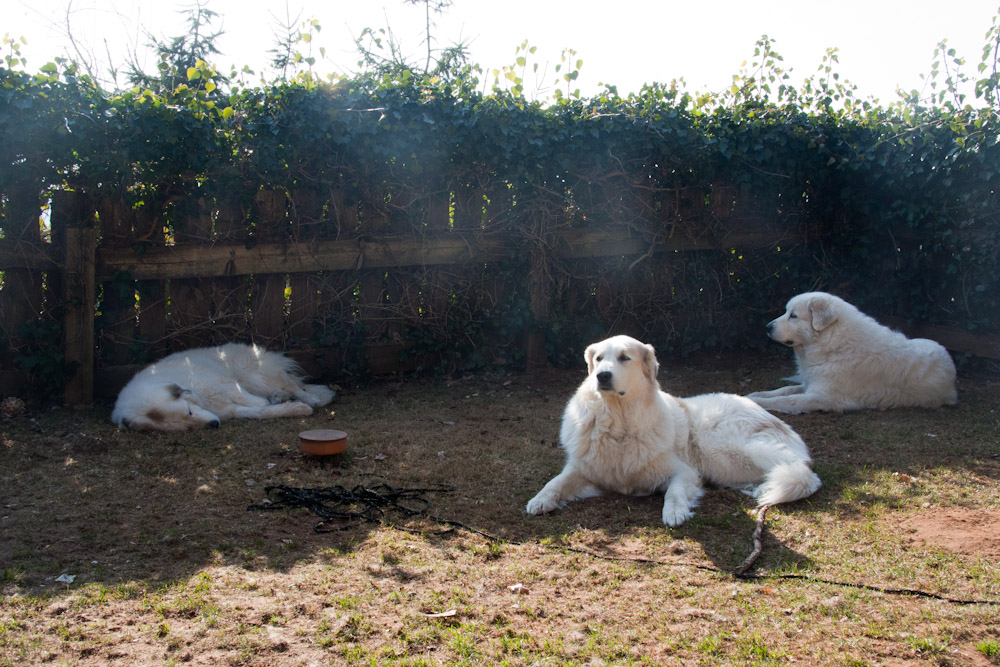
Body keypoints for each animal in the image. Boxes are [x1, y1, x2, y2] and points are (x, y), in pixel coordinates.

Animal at [111, 344, 334, 434]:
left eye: (189, 412)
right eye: (186, 427)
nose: (214, 424)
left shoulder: (224, 384)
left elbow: (255, 402)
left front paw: (303, 406)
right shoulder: (227, 409)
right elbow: (258, 412)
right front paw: (292, 409)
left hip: (252, 377)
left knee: (293, 385)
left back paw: (312, 399)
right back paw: (280, 398)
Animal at [524, 336, 820, 528]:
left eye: (624, 358)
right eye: (598, 360)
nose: (602, 375)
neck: (619, 422)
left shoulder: (684, 472)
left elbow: (674, 492)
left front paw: (675, 513)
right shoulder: (584, 469)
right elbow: (556, 483)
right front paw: (540, 500)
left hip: (723, 447)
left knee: (806, 475)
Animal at [748, 290, 956, 412]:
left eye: (793, 316)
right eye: (786, 312)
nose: (767, 327)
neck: (830, 342)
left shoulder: (822, 397)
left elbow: (787, 400)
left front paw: (757, 403)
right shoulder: (811, 383)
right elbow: (783, 390)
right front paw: (756, 394)